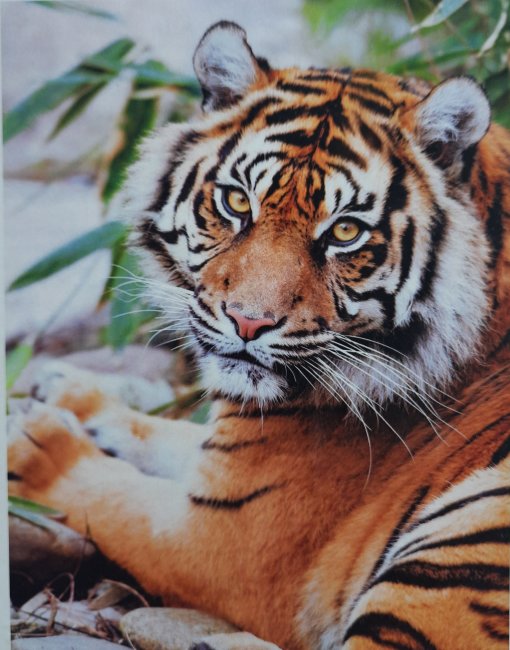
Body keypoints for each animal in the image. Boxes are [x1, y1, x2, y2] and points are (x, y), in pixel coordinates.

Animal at [8, 20, 510, 650]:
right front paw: (68, 390)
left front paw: (36, 445)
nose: (248, 321)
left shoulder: (220, 538)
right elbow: (169, 435)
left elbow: (111, 496)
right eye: (235, 201)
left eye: (345, 232)